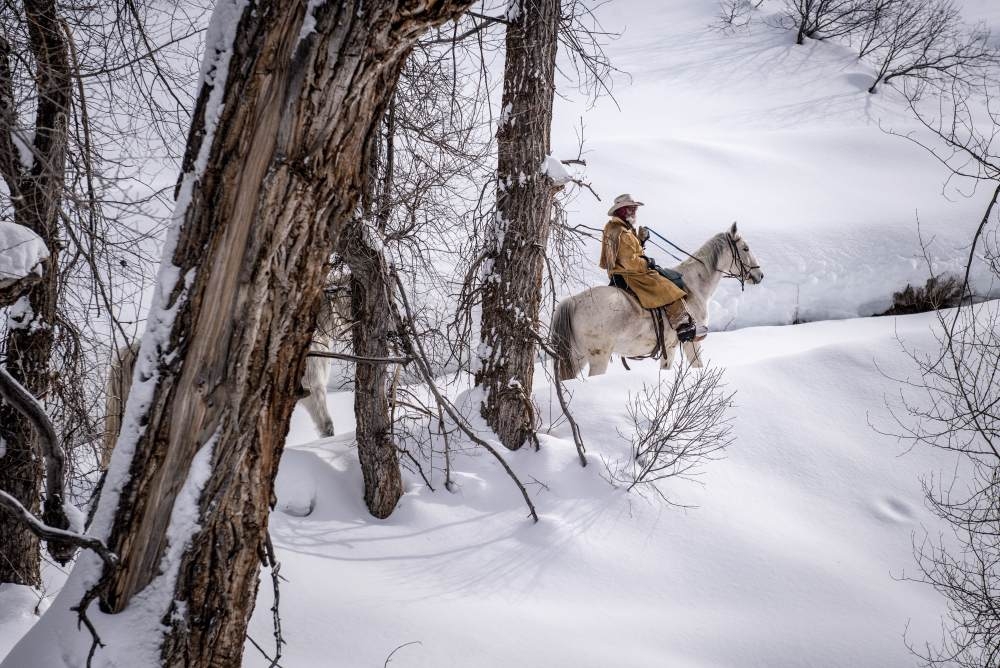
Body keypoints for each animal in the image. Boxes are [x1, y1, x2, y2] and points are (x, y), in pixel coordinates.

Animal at [552, 223, 760, 380]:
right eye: (746, 248)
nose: (760, 275)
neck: (694, 287)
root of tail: (573, 302)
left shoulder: (673, 347)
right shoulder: (688, 343)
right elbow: (697, 366)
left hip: (577, 357)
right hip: (598, 358)